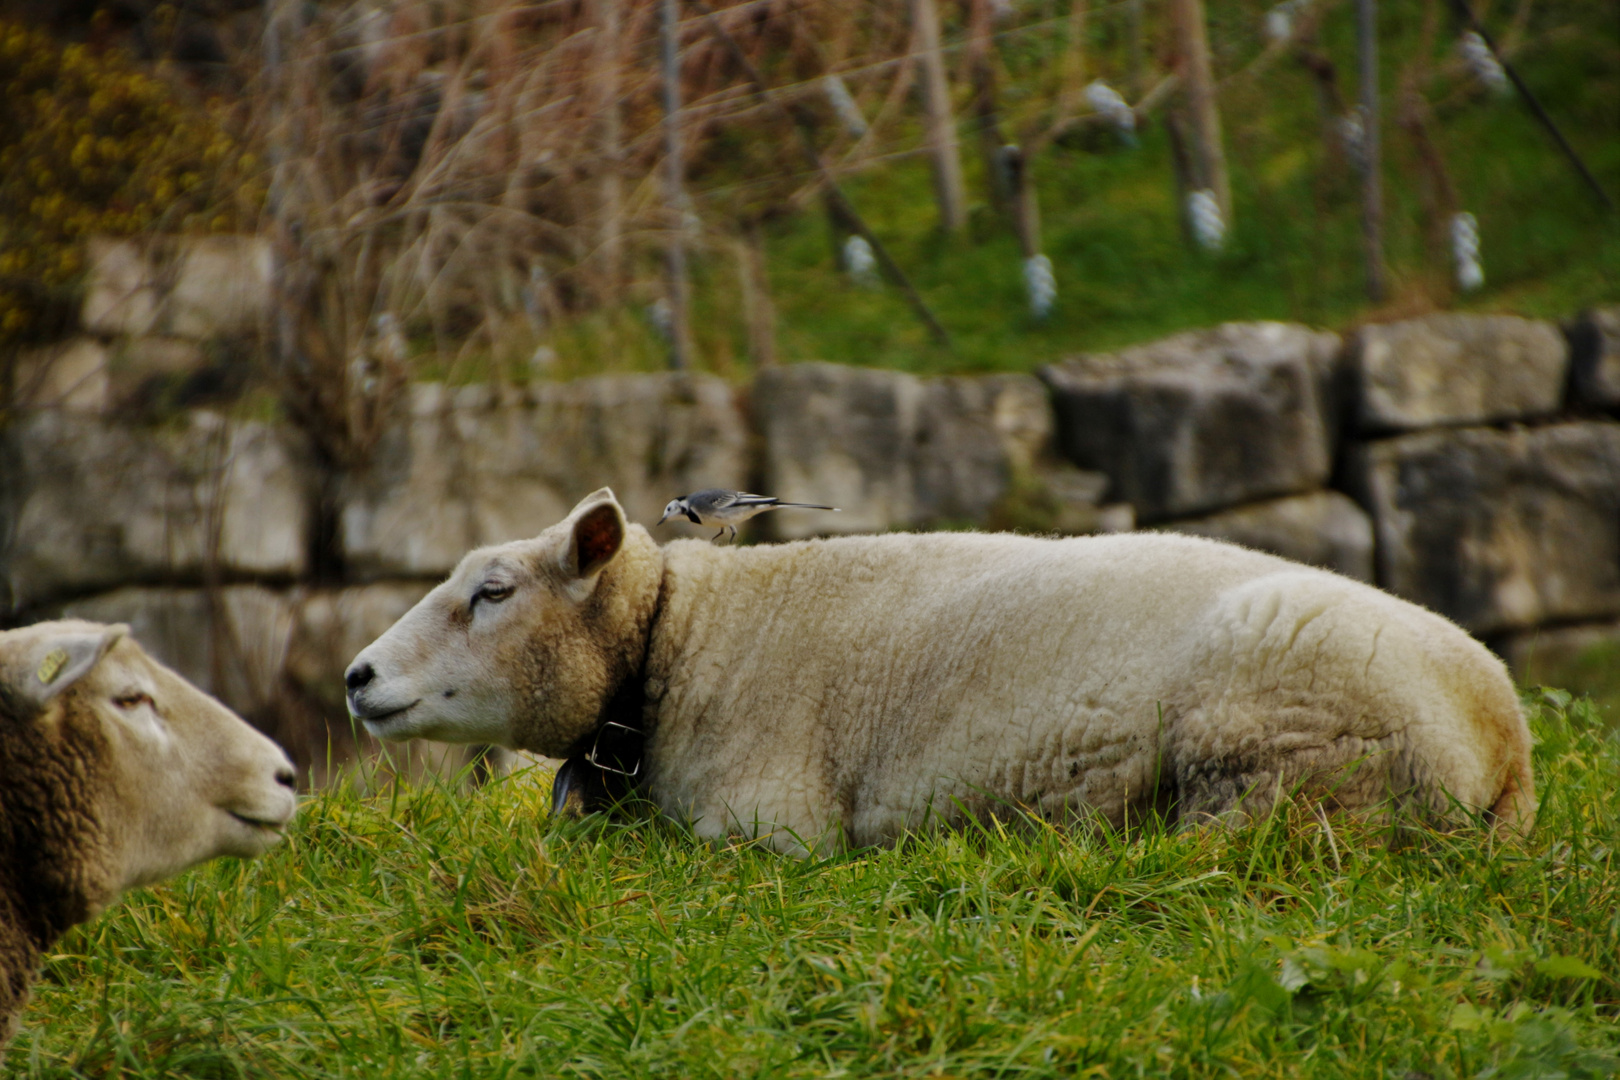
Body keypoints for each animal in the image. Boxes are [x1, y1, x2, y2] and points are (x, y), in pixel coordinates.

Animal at [348, 488, 1535, 854]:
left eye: (493, 591)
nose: (357, 676)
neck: (680, 642)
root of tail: (1505, 738)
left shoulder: (768, 829)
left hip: (1281, 749)